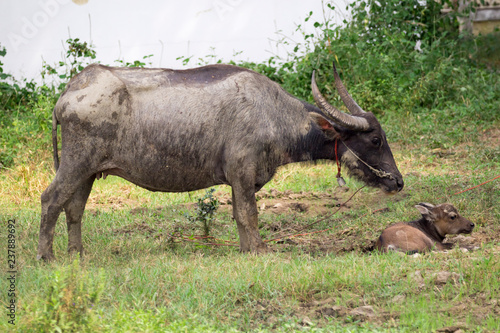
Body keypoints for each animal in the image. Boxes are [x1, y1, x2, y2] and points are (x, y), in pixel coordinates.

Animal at [37, 62, 404, 260]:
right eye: (375, 140)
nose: (398, 181)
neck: (273, 115)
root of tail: (68, 93)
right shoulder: (242, 172)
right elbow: (248, 214)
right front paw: (259, 250)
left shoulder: (239, 179)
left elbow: (239, 216)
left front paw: (245, 250)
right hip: (76, 162)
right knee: (51, 199)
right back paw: (47, 257)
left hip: (88, 171)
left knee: (74, 209)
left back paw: (77, 254)